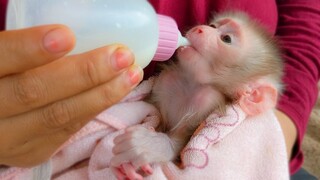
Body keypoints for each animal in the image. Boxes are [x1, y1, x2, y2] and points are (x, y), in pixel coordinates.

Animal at [110, 11, 282, 180]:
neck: (190, 84)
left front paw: (150, 145)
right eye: (213, 26)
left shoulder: (209, 100)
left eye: (226, 39)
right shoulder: (166, 80)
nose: (200, 29)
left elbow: (184, 144)